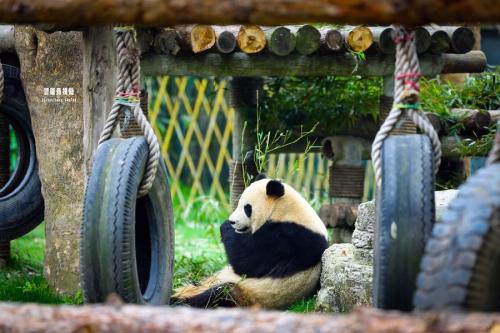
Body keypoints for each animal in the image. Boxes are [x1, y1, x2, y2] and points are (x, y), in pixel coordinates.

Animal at [172, 175, 328, 308]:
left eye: (247, 208)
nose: (232, 221)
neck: (286, 211)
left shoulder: (289, 238)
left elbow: (247, 262)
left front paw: (225, 226)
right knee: (197, 285)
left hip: (250, 294)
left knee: (219, 294)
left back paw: (182, 302)